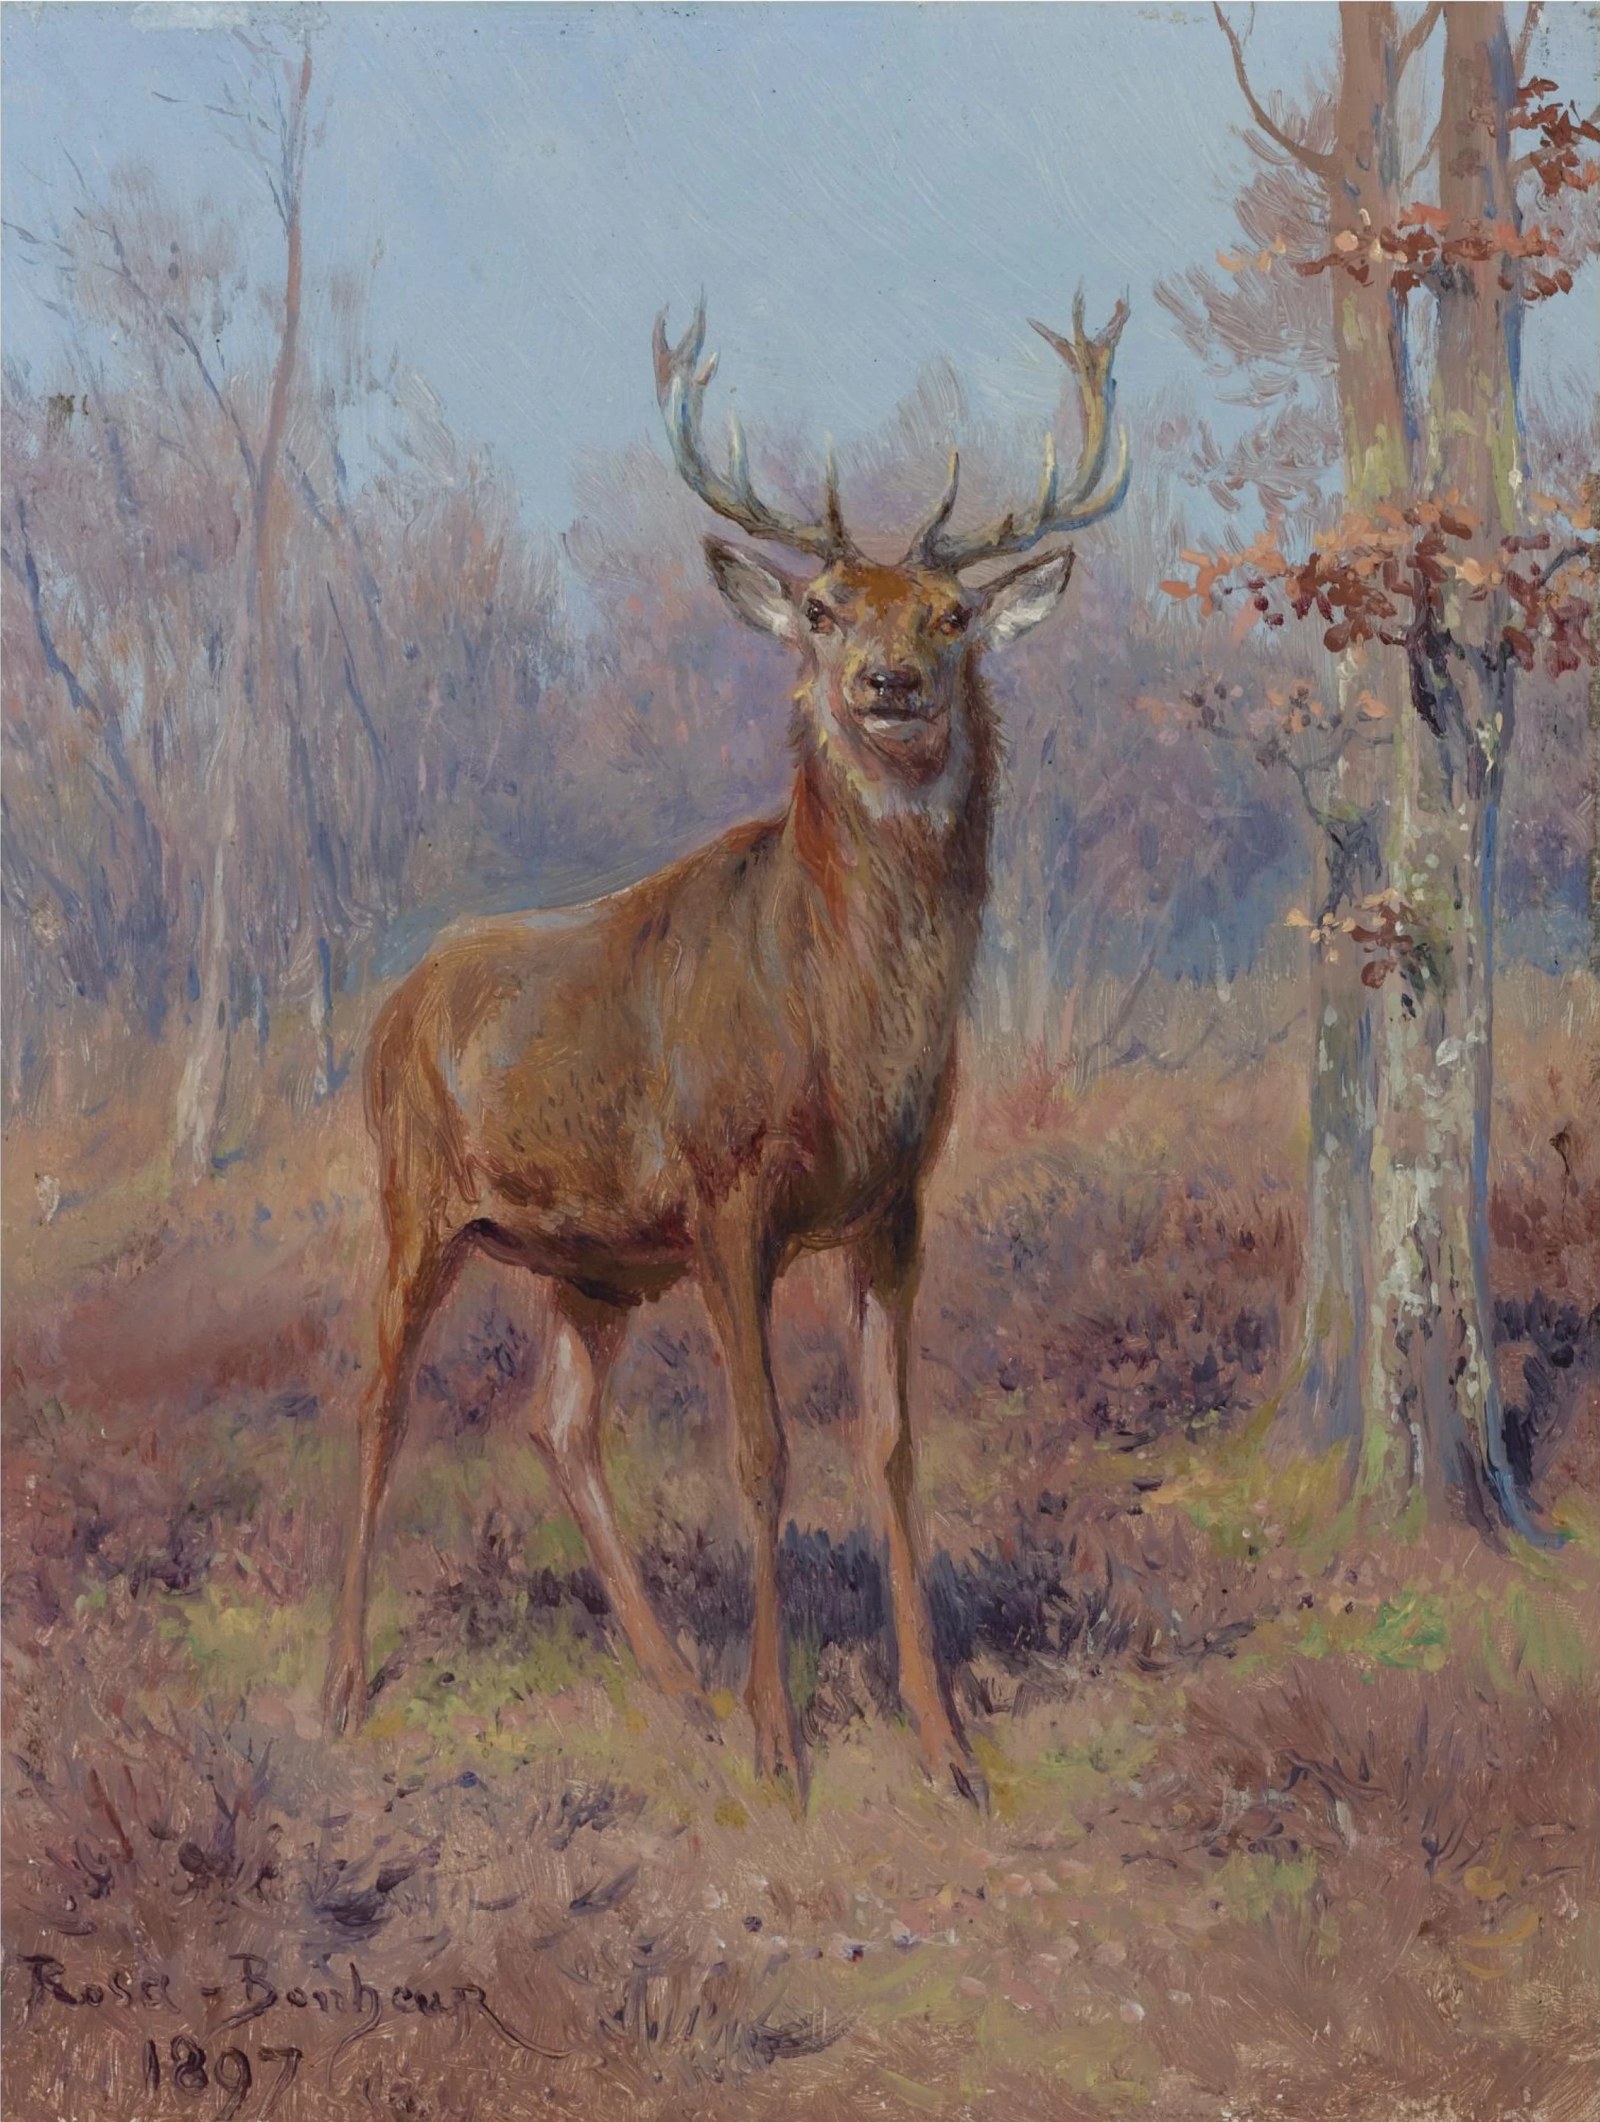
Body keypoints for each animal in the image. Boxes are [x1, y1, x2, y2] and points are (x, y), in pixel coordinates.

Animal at [323, 294, 1130, 1804]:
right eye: (819, 608)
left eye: (952, 614)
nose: (886, 681)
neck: (840, 1031)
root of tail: (395, 1002)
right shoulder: (724, 1188)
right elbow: (761, 1454)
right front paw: (782, 1741)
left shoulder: (896, 1203)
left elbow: (892, 1450)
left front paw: (945, 1741)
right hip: (416, 1196)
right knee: (379, 1401)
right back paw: (344, 1687)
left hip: (588, 1261)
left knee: (556, 1422)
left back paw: (674, 1685)